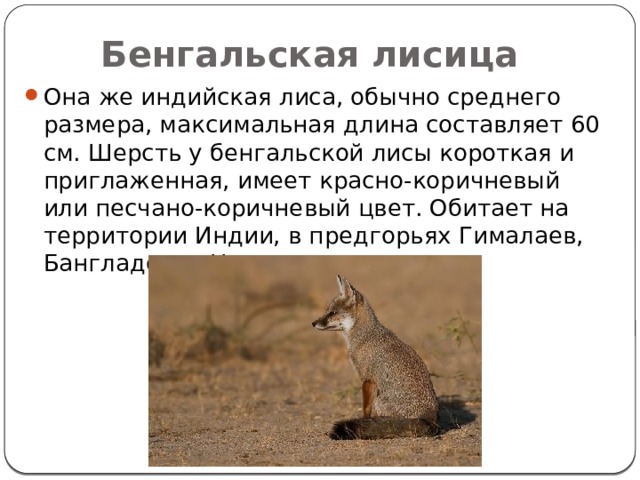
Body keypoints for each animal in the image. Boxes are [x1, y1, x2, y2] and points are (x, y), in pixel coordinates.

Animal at [312, 275, 440, 440]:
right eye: (327, 311)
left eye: (332, 313)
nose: (313, 323)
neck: (365, 335)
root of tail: (430, 419)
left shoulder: (368, 379)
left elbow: (366, 410)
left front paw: (364, 423)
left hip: (379, 400)